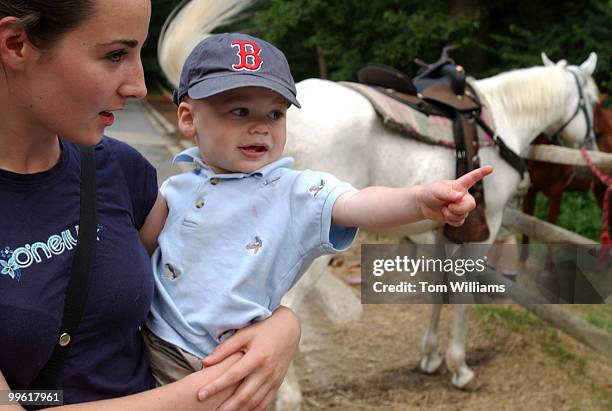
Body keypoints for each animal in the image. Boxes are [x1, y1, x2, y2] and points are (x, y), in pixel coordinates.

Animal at [155, 0, 600, 400]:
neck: (502, 117)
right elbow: (463, 294)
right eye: (596, 102)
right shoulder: (484, 227)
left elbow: (440, 286)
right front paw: (459, 367)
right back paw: (288, 396)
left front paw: (430, 357)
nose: (593, 148)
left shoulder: (444, 228)